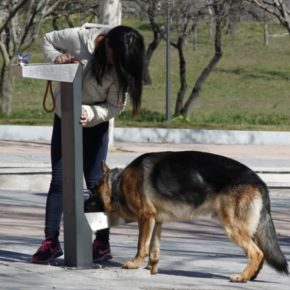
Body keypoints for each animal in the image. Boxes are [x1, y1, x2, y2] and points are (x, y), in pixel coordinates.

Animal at [94, 151, 288, 282]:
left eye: (94, 187)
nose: (88, 199)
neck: (118, 182)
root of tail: (260, 182)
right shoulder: (157, 221)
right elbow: (154, 249)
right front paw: (151, 267)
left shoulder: (145, 217)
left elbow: (141, 245)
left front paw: (134, 264)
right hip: (246, 229)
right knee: (261, 253)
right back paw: (251, 275)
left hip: (233, 228)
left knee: (256, 253)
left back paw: (242, 277)